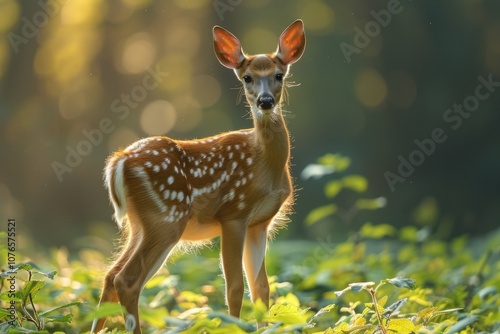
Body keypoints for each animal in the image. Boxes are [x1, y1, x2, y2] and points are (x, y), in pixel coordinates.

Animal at [92, 19, 306, 332]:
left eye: (279, 75)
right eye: (247, 78)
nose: (266, 101)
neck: (265, 163)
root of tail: (118, 161)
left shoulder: (259, 223)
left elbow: (261, 289)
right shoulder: (234, 214)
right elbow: (235, 288)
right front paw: (232, 325)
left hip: (139, 223)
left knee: (110, 275)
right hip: (167, 218)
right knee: (127, 280)